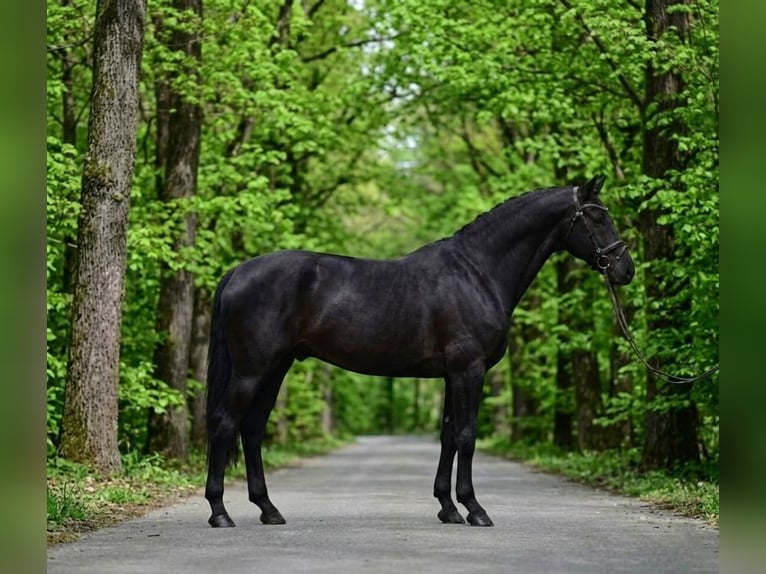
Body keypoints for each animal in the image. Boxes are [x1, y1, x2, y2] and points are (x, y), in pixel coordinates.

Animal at [204, 176, 635, 528]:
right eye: (597, 217)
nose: (625, 269)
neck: (478, 273)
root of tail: (238, 271)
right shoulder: (469, 370)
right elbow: (467, 435)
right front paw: (475, 509)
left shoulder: (451, 374)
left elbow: (447, 436)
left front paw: (448, 508)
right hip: (251, 371)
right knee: (225, 424)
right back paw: (220, 512)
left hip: (275, 369)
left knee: (252, 428)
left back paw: (268, 509)